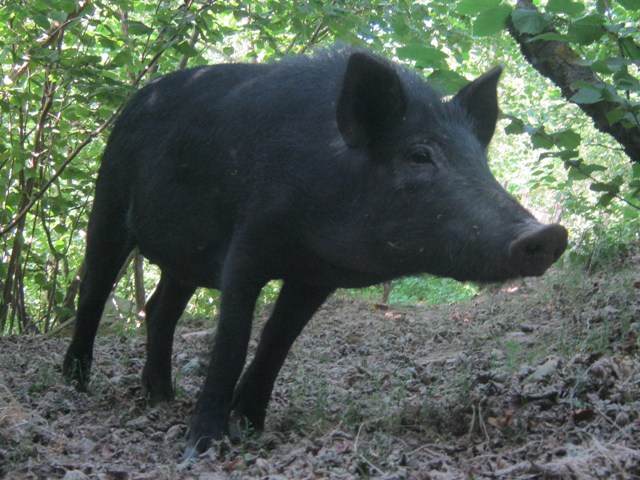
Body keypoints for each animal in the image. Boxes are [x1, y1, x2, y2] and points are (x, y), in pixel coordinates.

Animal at [62, 47, 568, 459]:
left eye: (480, 161)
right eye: (419, 155)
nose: (549, 234)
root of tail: (135, 101)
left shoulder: (317, 275)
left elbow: (277, 342)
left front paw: (250, 429)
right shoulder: (246, 247)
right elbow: (233, 339)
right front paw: (201, 448)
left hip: (184, 256)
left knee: (159, 307)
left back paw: (162, 398)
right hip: (108, 201)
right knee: (94, 287)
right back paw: (75, 383)